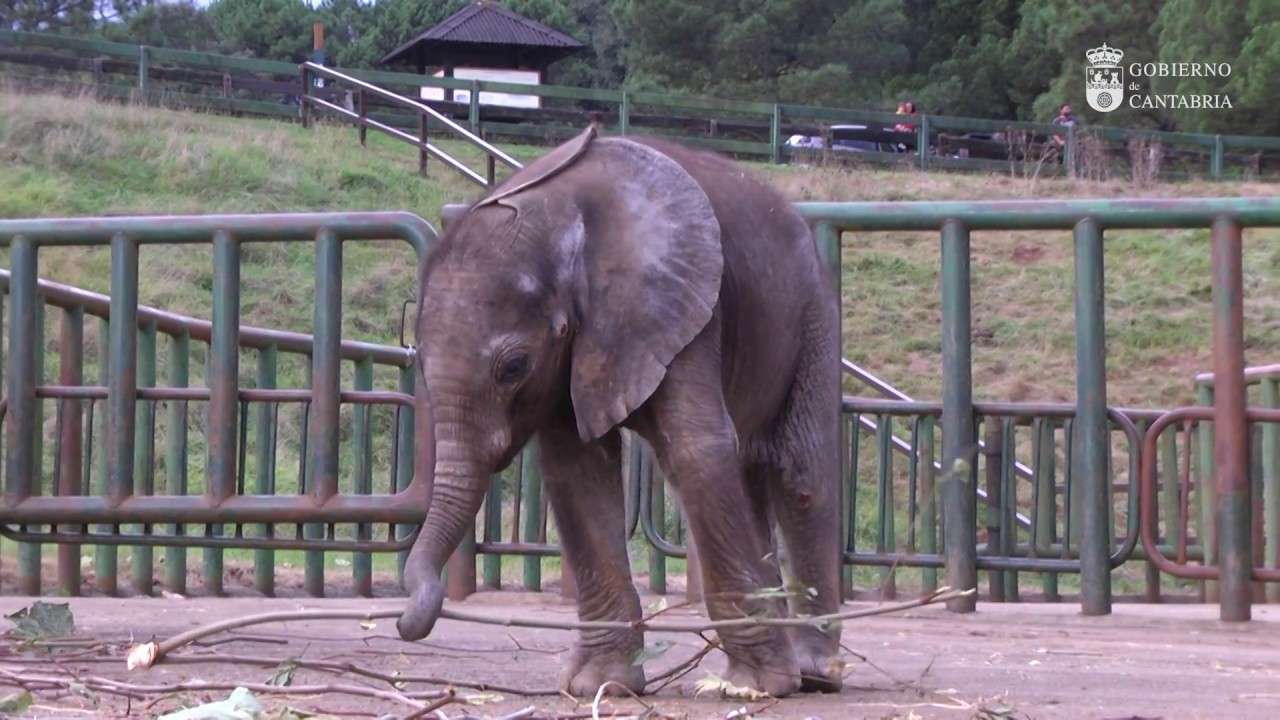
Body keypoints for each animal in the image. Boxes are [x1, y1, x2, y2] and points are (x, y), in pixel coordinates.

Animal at [396, 124, 845, 699]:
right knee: (750, 475)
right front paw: (601, 685)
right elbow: (578, 472)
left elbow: (697, 453)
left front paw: (758, 687)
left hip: (813, 311)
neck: (557, 212)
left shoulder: (679, 305)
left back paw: (813, 674)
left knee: (800, 474)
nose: (406, 621)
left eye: (514, 367)